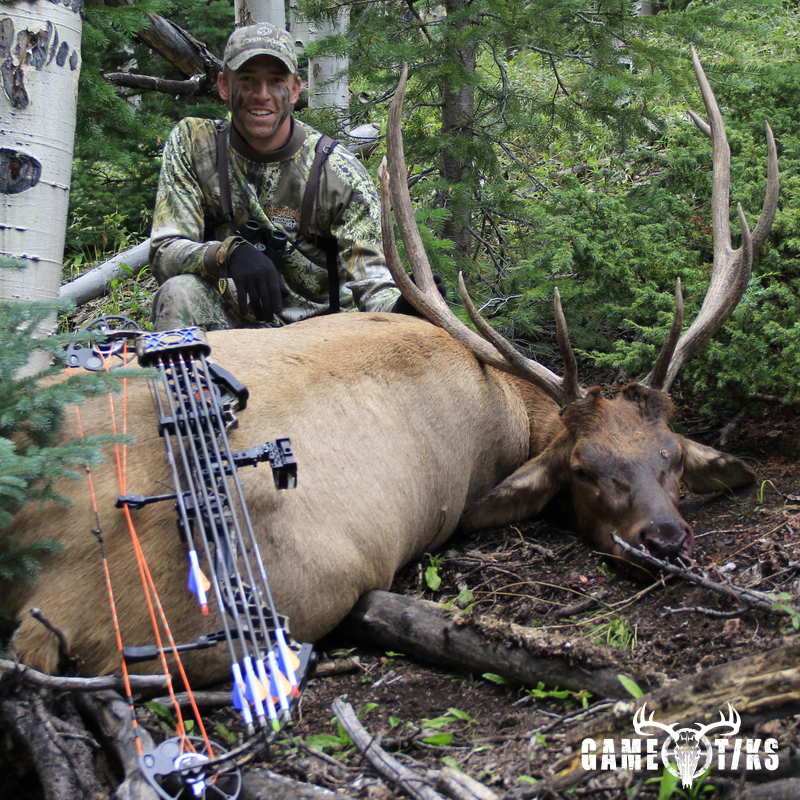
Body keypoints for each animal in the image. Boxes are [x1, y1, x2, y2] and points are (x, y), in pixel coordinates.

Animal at [5, 50, 777, 682]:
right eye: (583, 468)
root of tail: (46, 591)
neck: (508, 405)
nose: (665, 538)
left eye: (670, 455)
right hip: (283, 596)